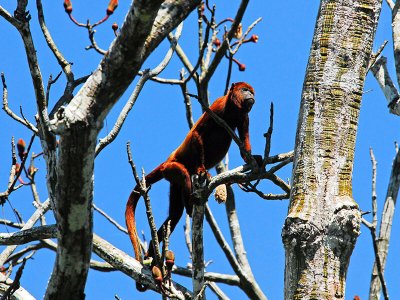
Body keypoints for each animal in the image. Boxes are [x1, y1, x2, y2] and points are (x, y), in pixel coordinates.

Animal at [126, 81, 260, 264]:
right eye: (244, 90)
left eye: (251, 92)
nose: (251, 96)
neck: (232, 110)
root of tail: (166, 161)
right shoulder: (217, 107)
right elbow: (197, 132)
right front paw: (202, 169)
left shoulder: (245, 117)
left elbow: (244, 150)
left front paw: (255, 159)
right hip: (171, 168)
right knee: (183, 175)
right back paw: (190, 203)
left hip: (172, 182)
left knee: (175, 214)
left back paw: (152, 253)